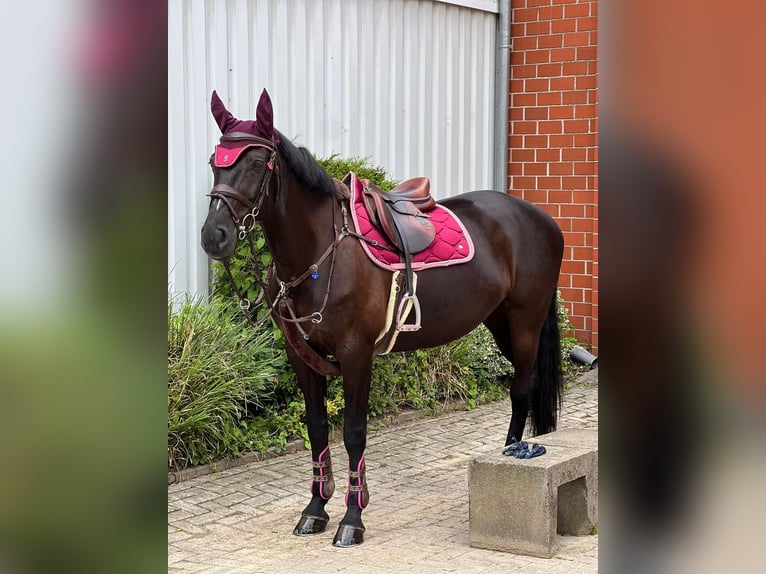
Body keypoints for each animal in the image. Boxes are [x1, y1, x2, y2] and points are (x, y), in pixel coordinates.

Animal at [201, 89, 568, 548]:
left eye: (254, 163)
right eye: (214, 162)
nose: (214, 235)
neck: (322, 252)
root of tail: (540, 218)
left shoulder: (356, 354)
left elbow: (354, 431)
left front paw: (352, 519)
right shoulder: (302, 356)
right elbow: (317, 427)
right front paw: (315, 509)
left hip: (525, 323)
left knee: (521, 390)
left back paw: (511, 458)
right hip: (499, 322)